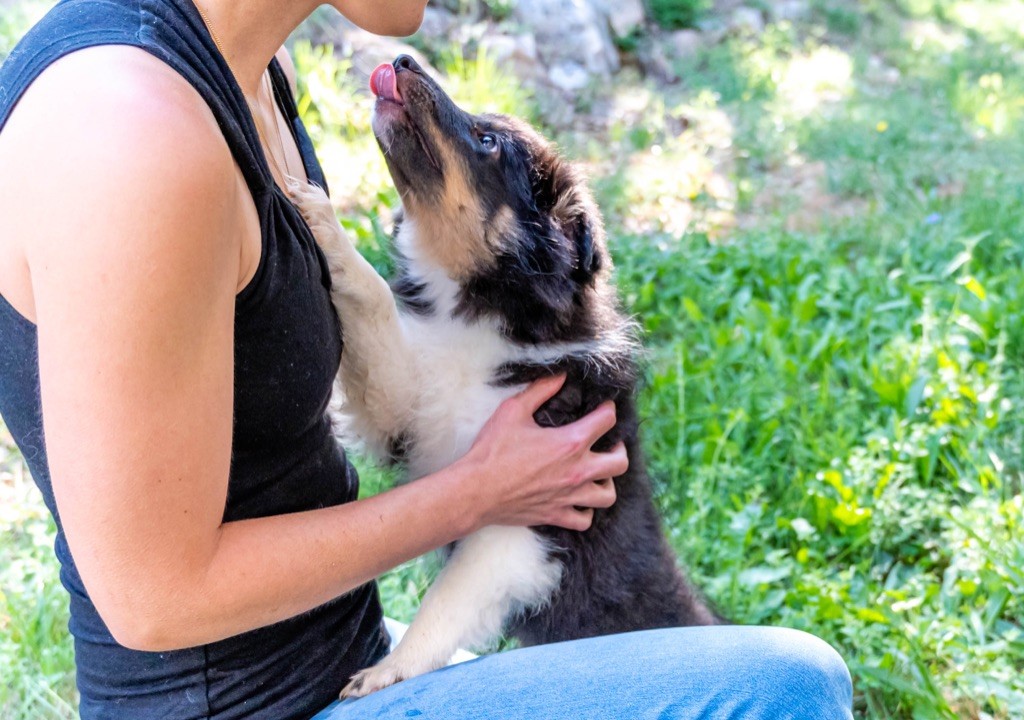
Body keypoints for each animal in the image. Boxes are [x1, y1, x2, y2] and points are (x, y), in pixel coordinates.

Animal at [288, 54, 721, 699]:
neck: (483, 322)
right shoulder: (410, 408)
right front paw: (322, 218)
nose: (402, 60)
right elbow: (372, 302)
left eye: (488, 142)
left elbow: (444, 600)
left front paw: (388, 671)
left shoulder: (526, 525)